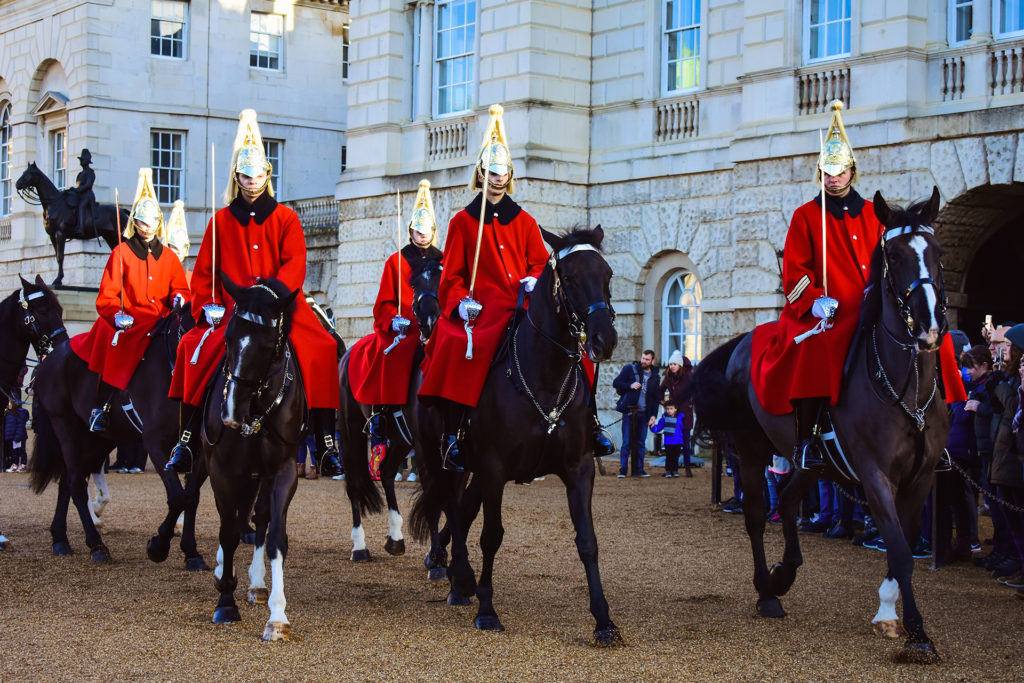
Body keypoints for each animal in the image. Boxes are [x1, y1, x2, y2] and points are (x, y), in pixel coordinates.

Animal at [28, 301, 207, 569]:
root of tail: (51, 357)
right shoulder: (156, 443)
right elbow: (178, 497)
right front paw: (158, 547)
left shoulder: (196, 449)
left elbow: (191, 497)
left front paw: (191, 552)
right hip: (66, 428)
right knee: (75, 483)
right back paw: (96, 545)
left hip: (100, 439)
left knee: (68, 481)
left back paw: (61, 539)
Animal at [198, 274, 372, 638]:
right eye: (228, 337)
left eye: (267, 346)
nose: (231, 414)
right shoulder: (222, 469)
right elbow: (228, 531)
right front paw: (226, 603)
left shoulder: (283, 470)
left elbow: (275, 535)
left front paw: (277, 616)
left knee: (259, 516)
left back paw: (255, 583)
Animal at [339, 254, 444, 561]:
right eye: (413, 283)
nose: (429, 321)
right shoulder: (425, 445)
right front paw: (436, 556)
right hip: (349, 431)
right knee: (354, 482)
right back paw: (359, 546)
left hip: (399, 438)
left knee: (385, 471)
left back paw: (396, 536)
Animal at [409, 225, 618, 647]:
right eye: (568, 277)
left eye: (607, 274)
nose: (604, 339)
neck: (545, 378)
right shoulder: (493, 469)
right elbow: (492, 535)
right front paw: (487, 610)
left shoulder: (580, 468)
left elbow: (588, 542)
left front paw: (603, 619)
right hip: (440, 459)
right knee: (450, 505)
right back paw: (458, 575)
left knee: (461, 509)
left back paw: (458, 578)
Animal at [688, 187, 950, 663]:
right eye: (895, 255)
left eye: (937, 252)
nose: (928, 328)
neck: (905, 387)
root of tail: (747, 339)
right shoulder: (875, 475)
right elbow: (900, 551)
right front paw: (919, 633)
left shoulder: (920, 478)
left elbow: (898, 545)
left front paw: (889, 613)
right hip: (752, 450)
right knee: (757, 515)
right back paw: (767, 592)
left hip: (814, 462)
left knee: (790, 500)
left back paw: (784, 573)